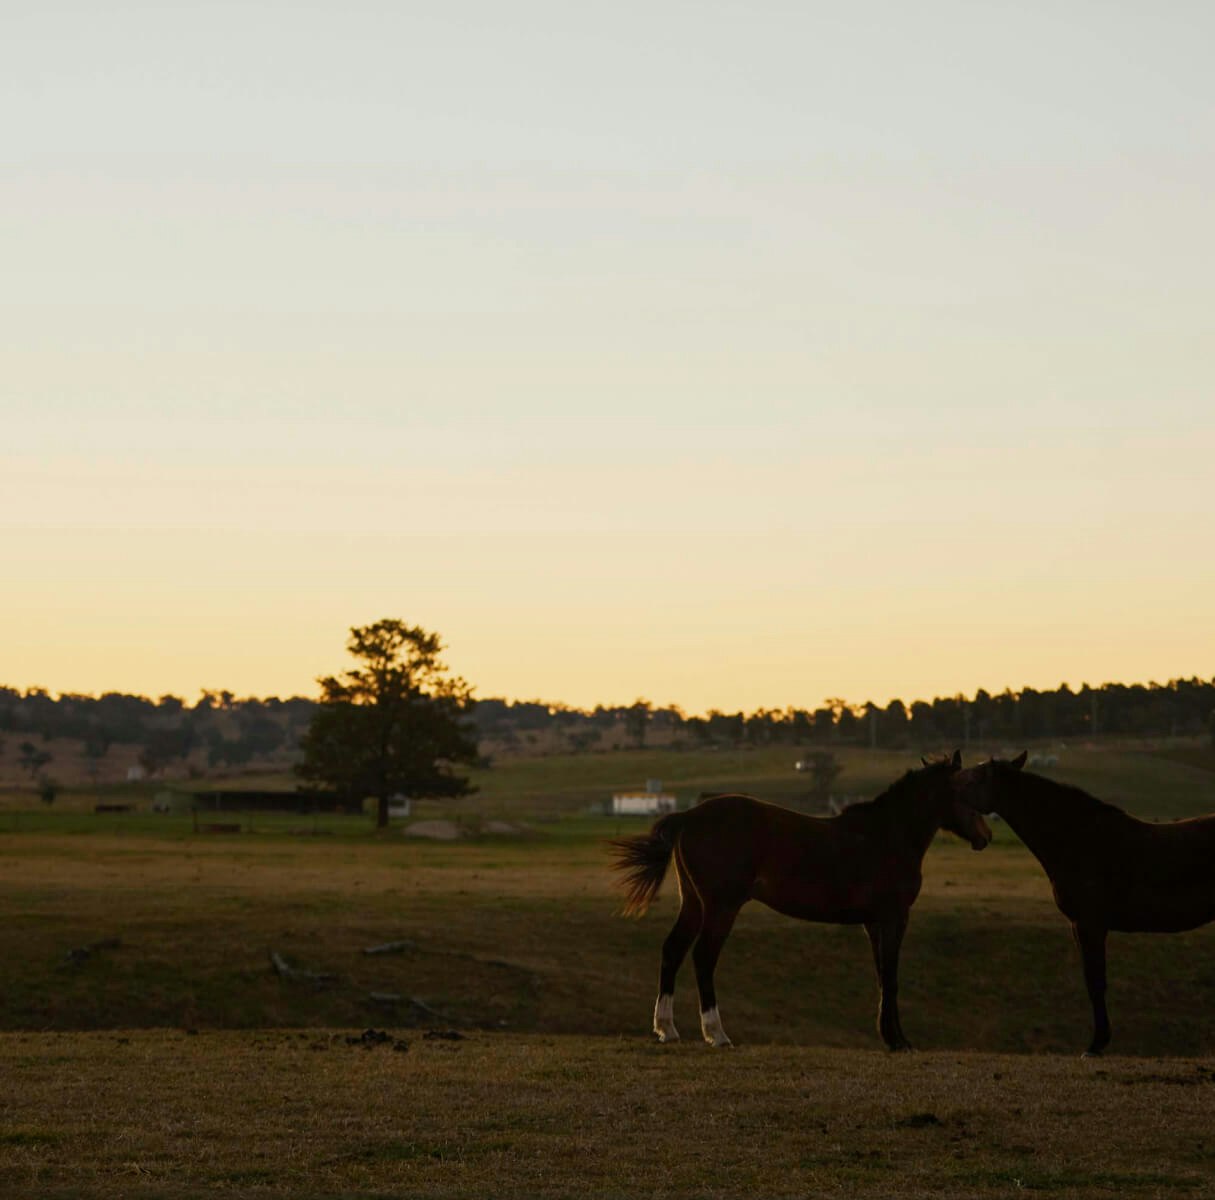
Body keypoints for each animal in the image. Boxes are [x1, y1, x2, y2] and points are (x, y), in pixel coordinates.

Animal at [607, 753, 986, 1054]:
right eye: (967, 790)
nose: (986, 836)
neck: (885, 836)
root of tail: (688, 816)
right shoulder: (894, 918)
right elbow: (891, 977)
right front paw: (900, 1041)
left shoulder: (874, 923)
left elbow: (882, 976)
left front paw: (890, 1037)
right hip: (720, 907)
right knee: (703, 957)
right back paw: (717, 1034)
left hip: (694, 904)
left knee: (673, 950)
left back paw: (667, 1029)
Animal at [952, 753, 1215, 1054]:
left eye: (974, 778)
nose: (950, 783)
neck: (1080, 839)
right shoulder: (1080, 926)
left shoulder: (1090, 925)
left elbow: (1095, 982)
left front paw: (1096, 1044)